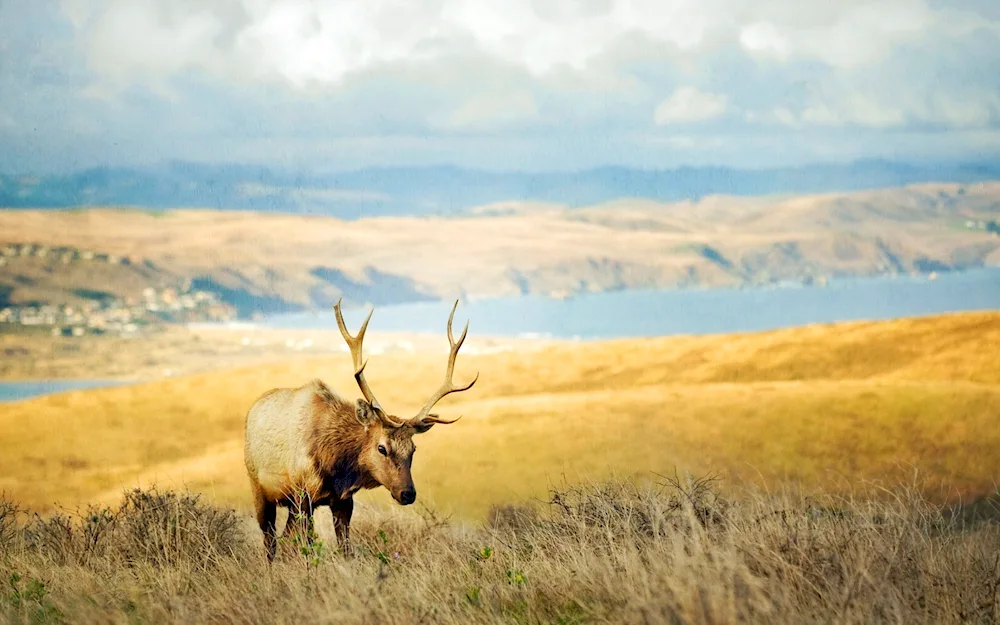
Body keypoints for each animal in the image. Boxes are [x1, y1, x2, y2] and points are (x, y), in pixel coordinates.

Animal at [242, 298, 476, 560]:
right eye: (382, 448)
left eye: (413, 449)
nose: (408, 493)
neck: (335, 465)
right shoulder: (303, 495)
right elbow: (307, 548)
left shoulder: (343, 501)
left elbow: (346, 549)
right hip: (258, 487)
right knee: (270, 541)